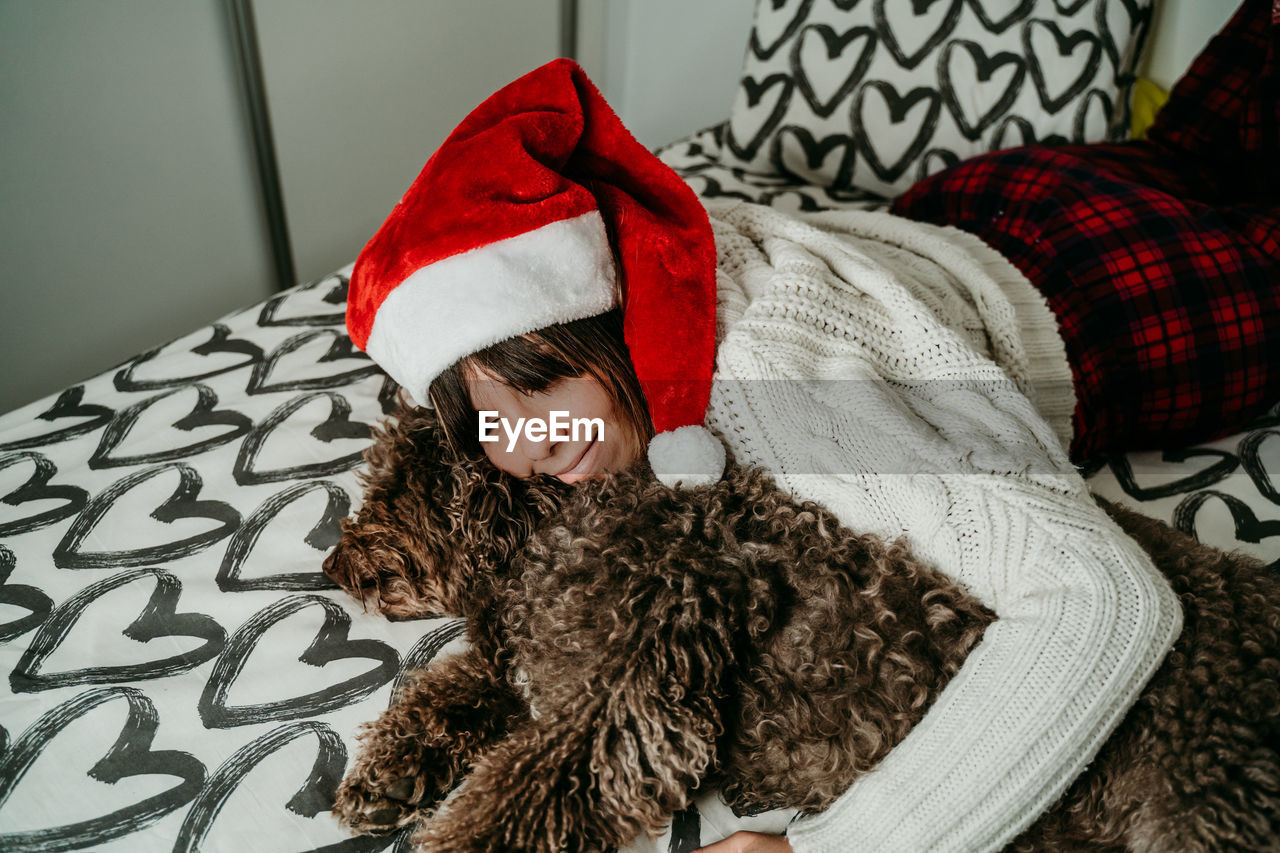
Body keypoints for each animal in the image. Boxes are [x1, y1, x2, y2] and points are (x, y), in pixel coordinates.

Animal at [322, 404, 1280, 850]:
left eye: (395, 489)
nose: (334, 565)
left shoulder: (623, 706)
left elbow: (520, 788)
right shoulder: (535, 669)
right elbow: (445, 688)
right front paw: (388, 771)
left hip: (1194, 810)